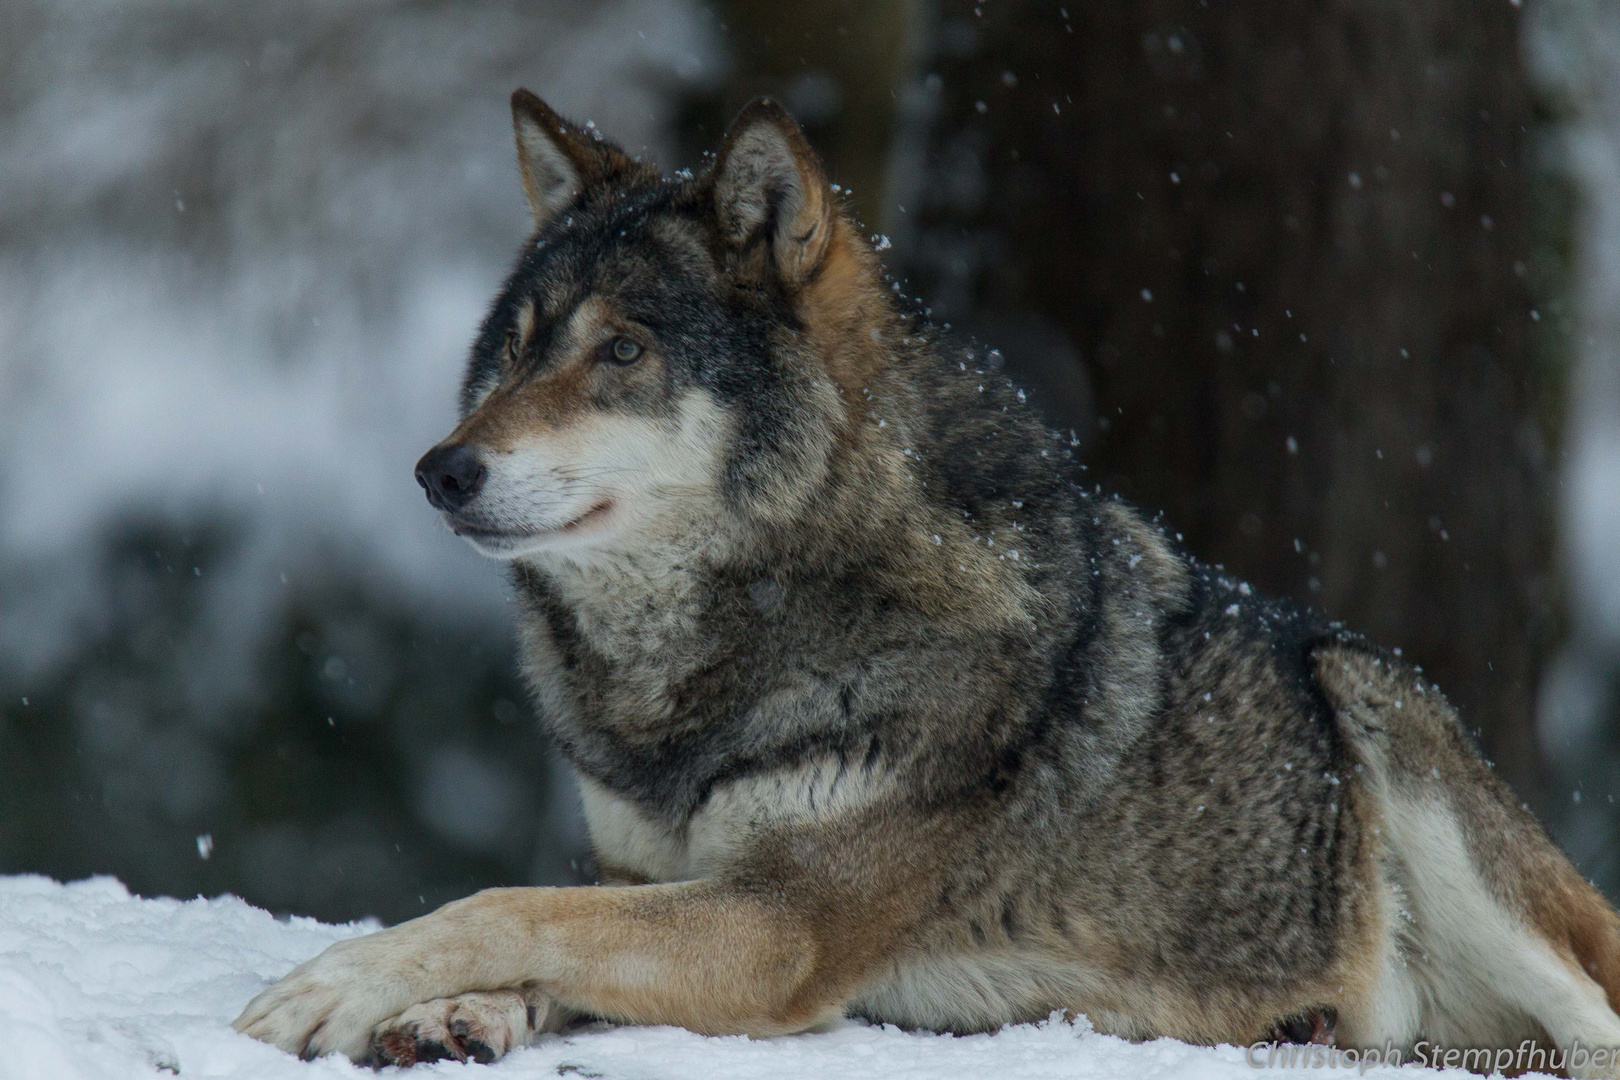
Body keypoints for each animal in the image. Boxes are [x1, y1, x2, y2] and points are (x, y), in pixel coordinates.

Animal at [234, 88, 1620, 1068]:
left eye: (621, 353)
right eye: (517, 352)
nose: (439, 471)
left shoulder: (779, 925)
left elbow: (505, 902)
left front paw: (328, 986)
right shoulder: (650, 876)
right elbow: (548, 919)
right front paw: (457, 1012)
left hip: (1380, 710)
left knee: (1591, 1026)